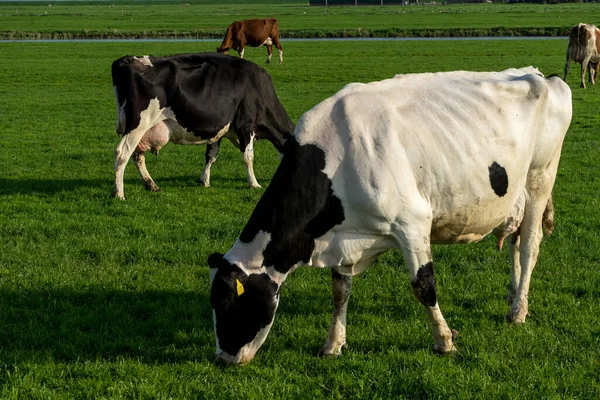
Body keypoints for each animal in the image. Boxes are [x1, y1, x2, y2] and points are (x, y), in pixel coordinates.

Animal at [110, 53, 296, 200]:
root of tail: (128, 59)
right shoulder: (246, 125)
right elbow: (248, 157)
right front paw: (254, 183)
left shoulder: (219, 131)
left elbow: (211, 156)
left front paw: (204, 180)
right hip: (138, 125)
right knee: (122, 154)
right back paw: (119, 193)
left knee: (137, 155)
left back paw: (151, 185)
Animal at [210, 67, 572, 364]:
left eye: (226, 303)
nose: (223, 359)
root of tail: (540, 75)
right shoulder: (346, 237)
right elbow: (340, 290)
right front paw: (333, 344)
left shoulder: (412, 223)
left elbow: (424, 286)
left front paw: (445, 341)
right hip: (515, 198)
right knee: (515, 242)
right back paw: (513, 297)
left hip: (540, 177)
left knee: (530, 245)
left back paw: (519, 310)